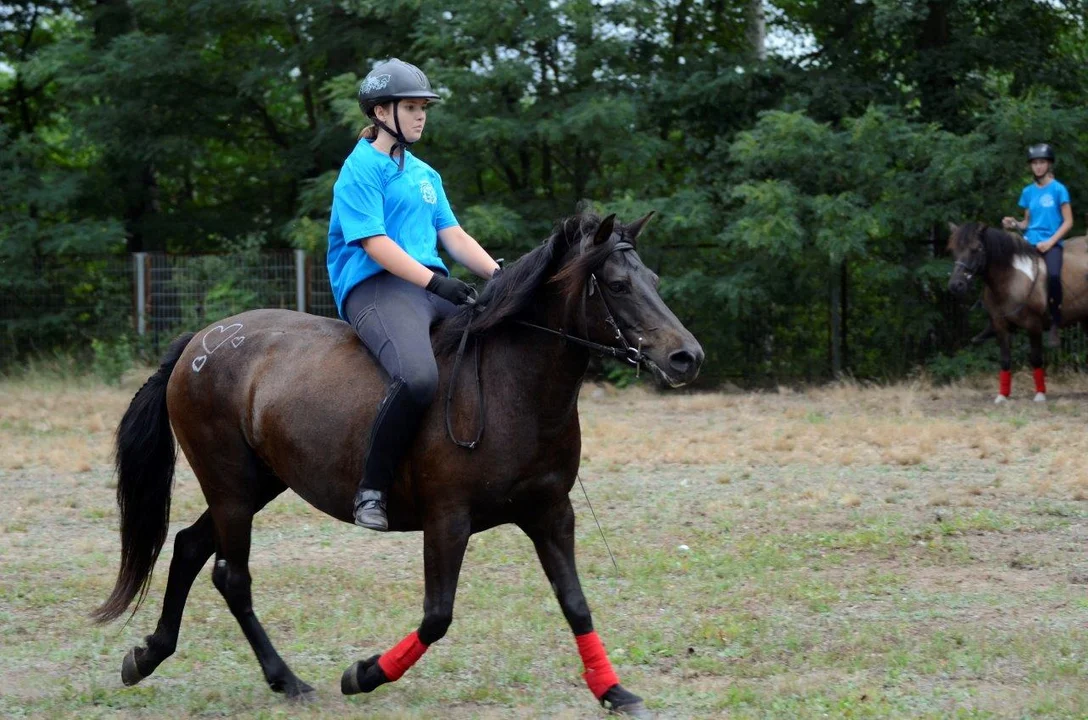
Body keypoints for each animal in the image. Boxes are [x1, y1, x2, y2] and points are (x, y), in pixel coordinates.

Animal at [93, 212, 705, 717]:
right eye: (618, 285)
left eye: (652, 280)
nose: (686, 358)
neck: (511, 387)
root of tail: (200, 342)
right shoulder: (448, 520)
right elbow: (437, 616)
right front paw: (363, 675)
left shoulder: (551, 512)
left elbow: (576, 604)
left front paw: (614, 691)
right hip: (232, 489)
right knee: (231, 575)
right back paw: (286, 680)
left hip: (255, 485)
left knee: (189, 548)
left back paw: (148, 656)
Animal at [944, 222, 1088, 402]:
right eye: (953, 249)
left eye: (976, 248)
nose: (956, 285)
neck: (1010, 279)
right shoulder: (1001, 327)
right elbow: (1005, 360)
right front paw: (1002, 395)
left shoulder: (1034, 325)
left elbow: (1036, 358)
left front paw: (1040, 394)